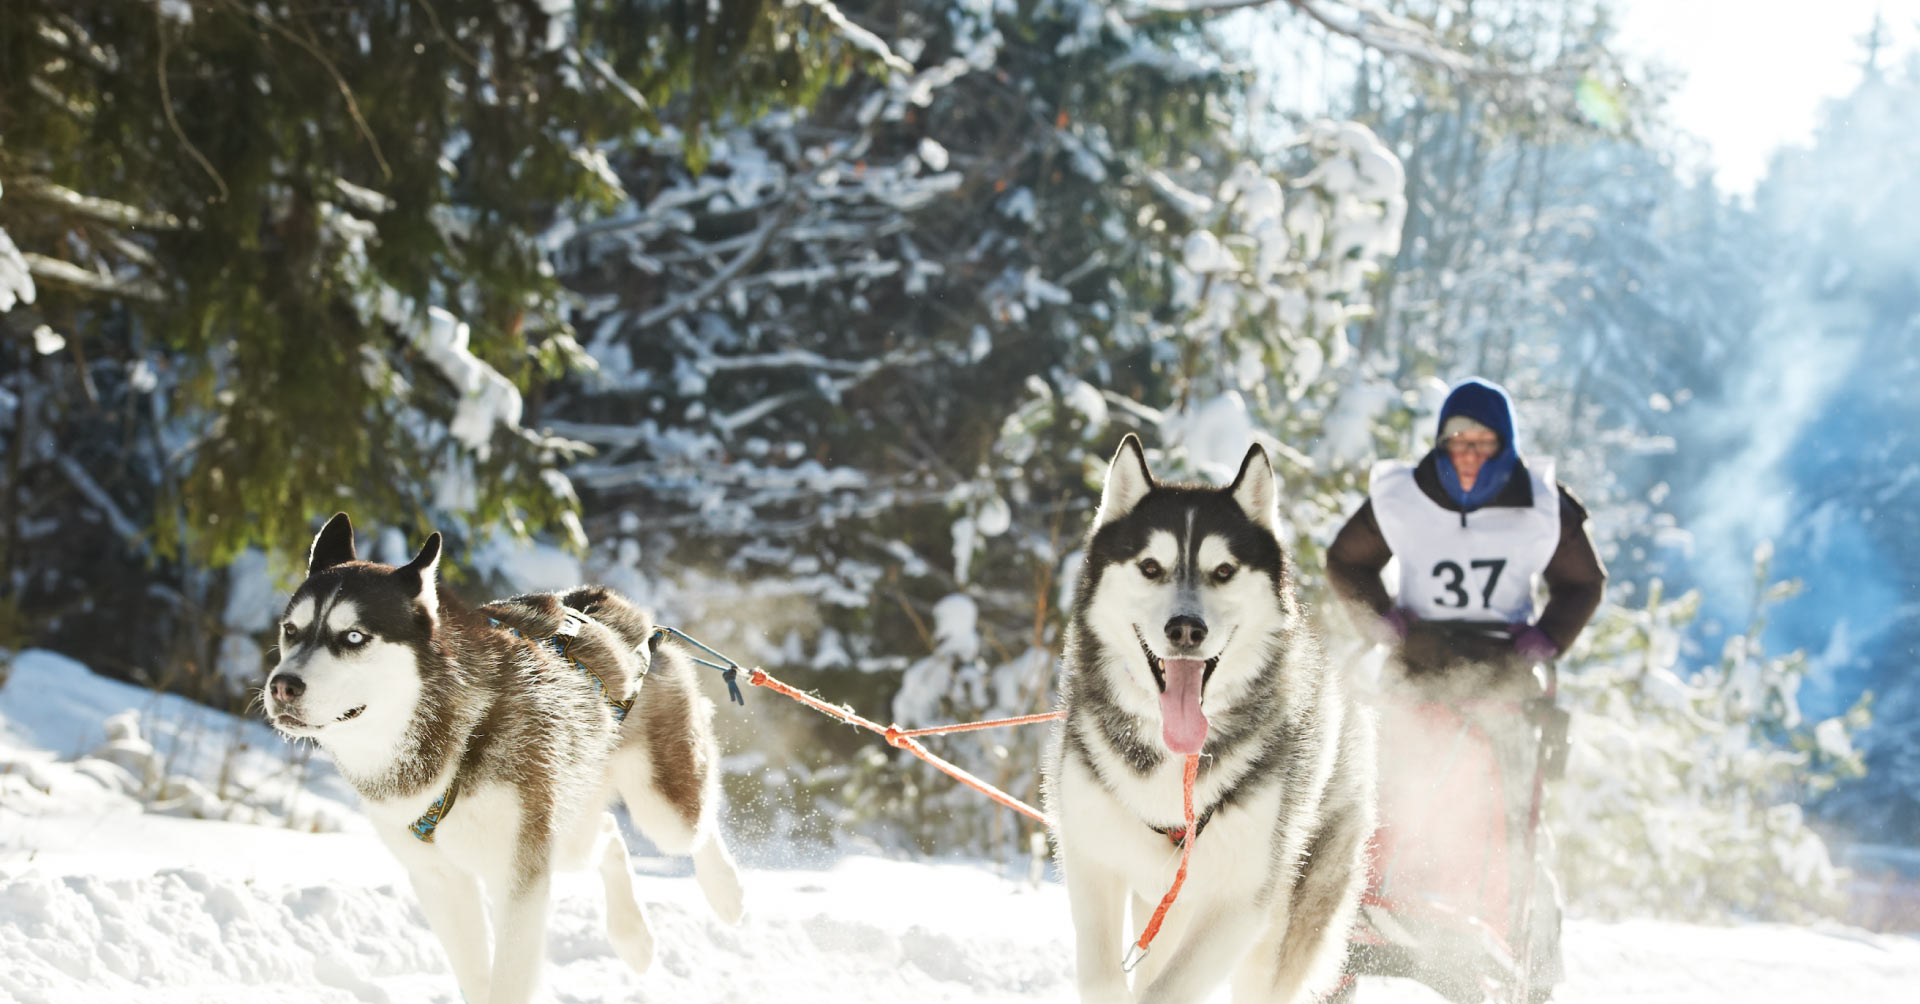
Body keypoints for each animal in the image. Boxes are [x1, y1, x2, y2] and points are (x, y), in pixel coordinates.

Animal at [266, 514, 744, 1004]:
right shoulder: (440, 878)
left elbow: (508, 979)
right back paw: (633, 937)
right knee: (609, 834)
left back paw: (725, 892)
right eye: (291, 630)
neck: (454, 738)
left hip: (661, 810)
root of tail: (623, 612)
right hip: (563, 827)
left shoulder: (520, 881)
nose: (282, 685)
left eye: (354, 636)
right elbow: (477, 978)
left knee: (695, 826)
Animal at [1044, 439, 1374, 1004]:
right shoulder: (1093, 862)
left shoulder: (1239, 904)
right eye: (1150, 566)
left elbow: (1166, 992)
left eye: (1223, 571)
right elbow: (1106, 978)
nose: (1185, 629)